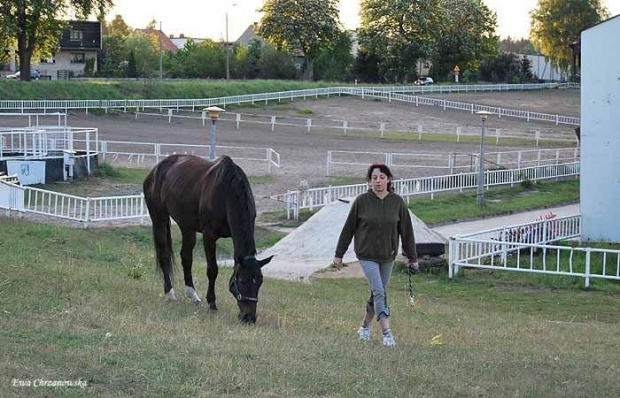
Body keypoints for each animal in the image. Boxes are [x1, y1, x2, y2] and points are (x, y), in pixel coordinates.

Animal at [145, 154, 274, 324]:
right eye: (242, 281)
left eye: (260, 281)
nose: (249, 318)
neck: (226, 192)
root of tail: (155, 170)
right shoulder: (209, 236)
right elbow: (212, 270)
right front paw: (212, 303)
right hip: (159, 218)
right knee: (164, 254)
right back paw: (170, 293)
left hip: (187, 226)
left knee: (186, 257)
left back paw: (192, 294)